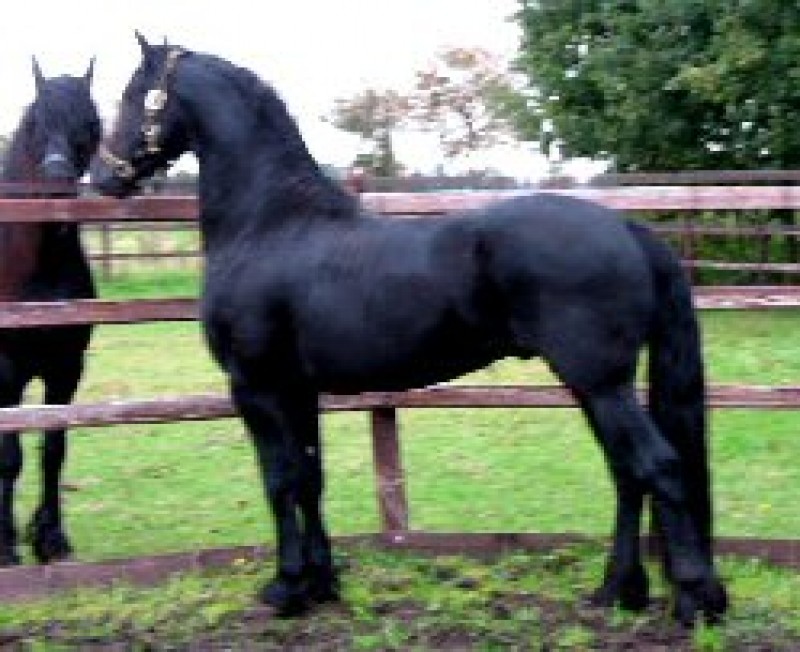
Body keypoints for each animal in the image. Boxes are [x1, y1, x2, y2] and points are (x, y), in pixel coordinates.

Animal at [91, 34, 727, 625]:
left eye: (131, 94)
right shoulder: (298, 390)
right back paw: (618, 591)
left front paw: (286, 588)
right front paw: (321, 585)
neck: (270, 224)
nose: (101, 176)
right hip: (596, 387)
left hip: (600, 383)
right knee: (627, 474)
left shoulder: (257, 387)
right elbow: (310, 478)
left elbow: (280, 480)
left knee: (658, 467)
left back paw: (694, 600)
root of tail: (628, 229)